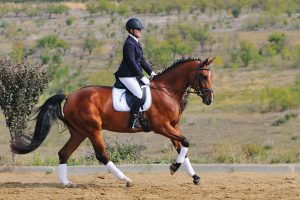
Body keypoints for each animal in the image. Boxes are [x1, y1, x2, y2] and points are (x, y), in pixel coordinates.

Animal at [10, 57, 214, 188]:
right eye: (204, 77)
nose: (209, 99)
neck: (166, 91)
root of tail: (70, 96)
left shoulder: (173, 126)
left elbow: (182, 148)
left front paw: (195, 177)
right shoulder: (162, 127)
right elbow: (186, 142)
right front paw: (173, 168)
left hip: (79, 132)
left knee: (64, 153)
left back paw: (67, 183)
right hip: (93, 130)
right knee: (102, 155)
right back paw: (126, 180)